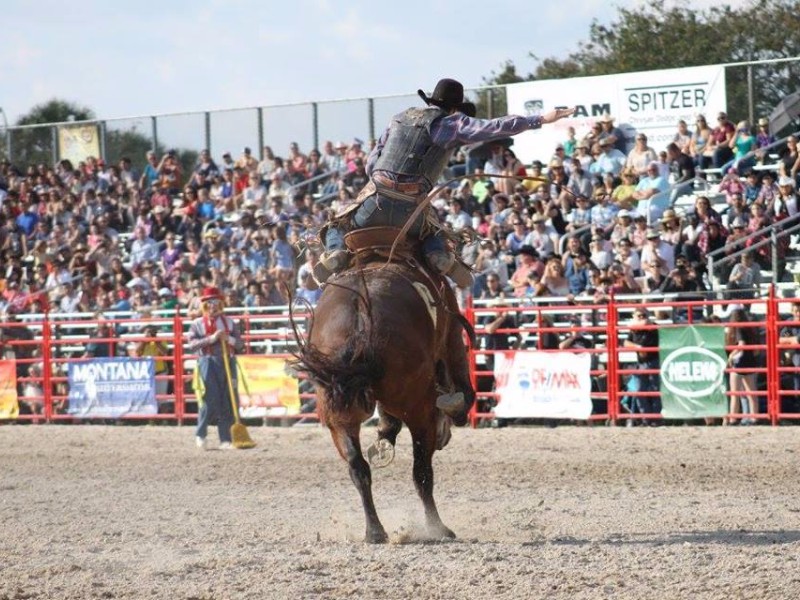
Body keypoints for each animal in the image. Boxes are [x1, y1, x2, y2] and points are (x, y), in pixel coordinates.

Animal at [298, 226, 476, 544]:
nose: (444, 436)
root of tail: (360, 316)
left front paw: (383, 435)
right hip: (417, 408)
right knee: (421, 472)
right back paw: (438, 527)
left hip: (337, 413)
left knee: (357, 467)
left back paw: (374, 530)